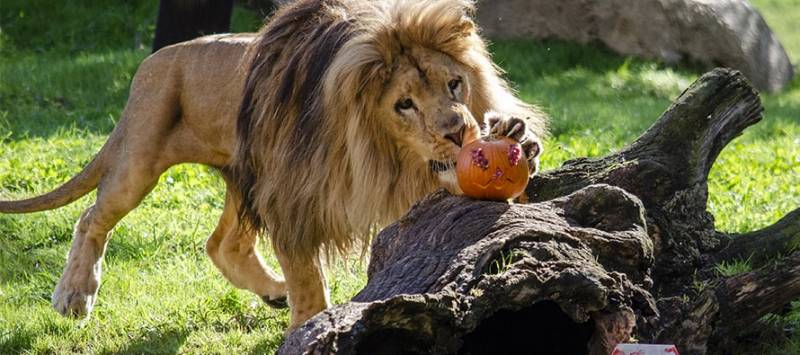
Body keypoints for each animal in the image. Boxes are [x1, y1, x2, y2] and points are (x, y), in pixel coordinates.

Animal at [0, 0, 544, 330]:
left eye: (454, 84)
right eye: (404, 105)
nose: (458, 132)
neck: (380, 154)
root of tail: (155, 60)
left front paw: (515, 134)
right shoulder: (291, 196)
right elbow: (309, 282)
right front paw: (310, 326)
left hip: (246, 176)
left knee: (222, 244)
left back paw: (271, 294)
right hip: (142, 154)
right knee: (93, 216)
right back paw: (74, 295)